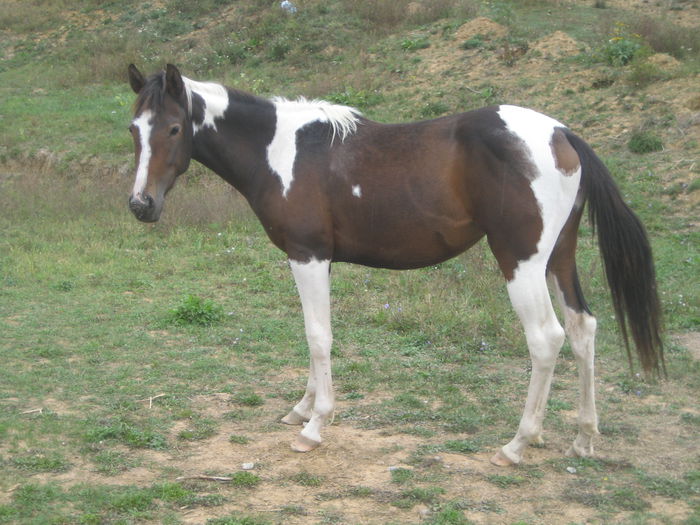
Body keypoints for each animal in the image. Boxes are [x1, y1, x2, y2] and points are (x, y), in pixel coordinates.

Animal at [127, 63, 668, 464]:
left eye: (174, 128)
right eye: (134, 129)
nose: (141, 205)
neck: (281, 151)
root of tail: (561, 133)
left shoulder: (307, 255)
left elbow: (318, 336)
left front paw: (315, 425)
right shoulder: (319, 260)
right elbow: (316, 335)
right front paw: (302, 409)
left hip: (522, 262)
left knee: (546, 339)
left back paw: (517, 444)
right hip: (560, 257)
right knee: (583, 328)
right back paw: (583, 437)